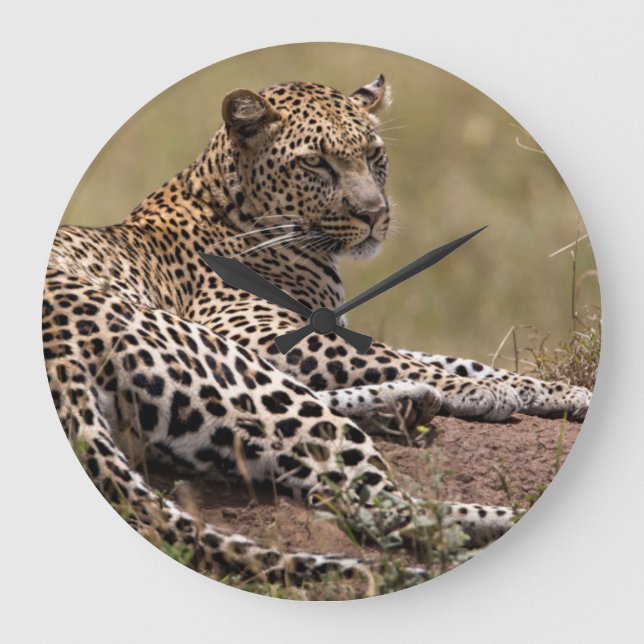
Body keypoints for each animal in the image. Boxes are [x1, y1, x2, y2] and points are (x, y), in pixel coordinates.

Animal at [43, 75, 592, 589]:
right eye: (315, 164)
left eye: (374, 155)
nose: (374, 214)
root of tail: (59, 354)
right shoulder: (252, 330)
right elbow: (394, 356)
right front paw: (488, 392)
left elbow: (444, 358)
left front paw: (556, 391)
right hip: (216, 358)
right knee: (383, 508)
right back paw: (501, 513)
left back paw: (408, 403)